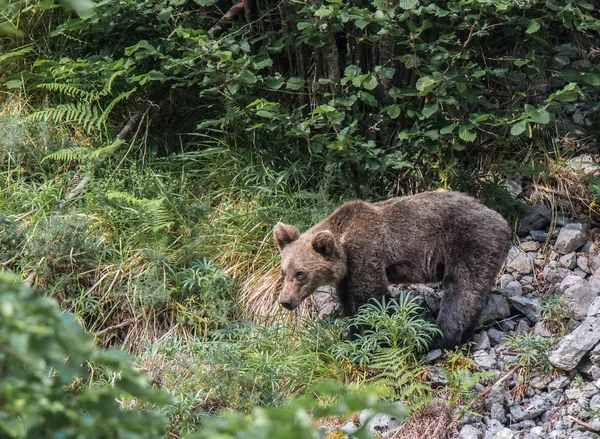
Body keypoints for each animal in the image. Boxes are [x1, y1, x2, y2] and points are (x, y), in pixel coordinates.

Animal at [272, 192, 510, 350]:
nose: (285, 301)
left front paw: (370, 336)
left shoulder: (366, 252)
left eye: (301, 274)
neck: (344, 247)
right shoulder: (347, 276)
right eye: (284, 272)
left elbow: (371, 297)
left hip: (470, 243)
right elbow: (348, 302)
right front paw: (352, 334)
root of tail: (502, 219)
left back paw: (438, 337)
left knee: (462, 290)